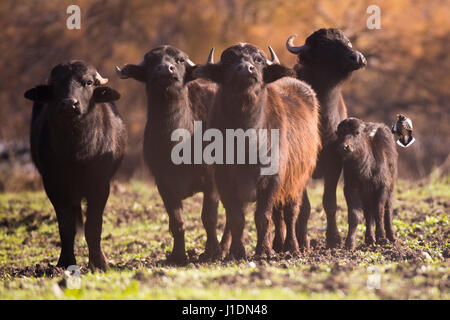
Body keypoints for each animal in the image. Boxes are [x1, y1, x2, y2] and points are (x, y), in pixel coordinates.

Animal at [24, 60, 126, 270]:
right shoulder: (54, 186)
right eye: (56, 83)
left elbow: (93, 226)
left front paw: (98, 263)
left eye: (88, 82)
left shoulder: (101, 185)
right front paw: (66, 261)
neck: (76, 152)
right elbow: (66, 226)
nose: (70, 104)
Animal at [115, 46, 221, 264]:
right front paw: (178, 255)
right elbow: (177, 221)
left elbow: (209, 217)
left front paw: (211, 252)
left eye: (179, 60)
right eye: (151, 60)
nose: (165, 69)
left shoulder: (212, 182)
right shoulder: (163, 184)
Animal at [193, 43, 320, 258]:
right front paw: (237, 252)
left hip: (297, 180)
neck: (246, 136)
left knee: (291, 212)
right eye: (229, 59)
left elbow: (263, 216)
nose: (246, 69)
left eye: (258, 60)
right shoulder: (224, 179)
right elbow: (236, 218)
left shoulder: (272, 178)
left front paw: (264, 251)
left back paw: (292, 246)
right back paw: (276, 244)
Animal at [286, 28, 368, 249]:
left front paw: (334, 239)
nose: (357, 57)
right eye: (324, 44)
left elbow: (329, 201)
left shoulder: (335, 162)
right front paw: (303, 241)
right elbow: (305, 206)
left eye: (346, 41)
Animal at [338, 116, 398, 249]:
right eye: (340, 133)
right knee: (368, 213)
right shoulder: (350, 189)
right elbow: (354, 214)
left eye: (357, 132)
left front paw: (382, 238)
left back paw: (391, 236)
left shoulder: (383, 186)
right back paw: (369, 238)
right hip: (366, 194)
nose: (344, 146)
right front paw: (349, 243)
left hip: (391, 188)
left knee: (388, 210)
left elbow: (379, 211)